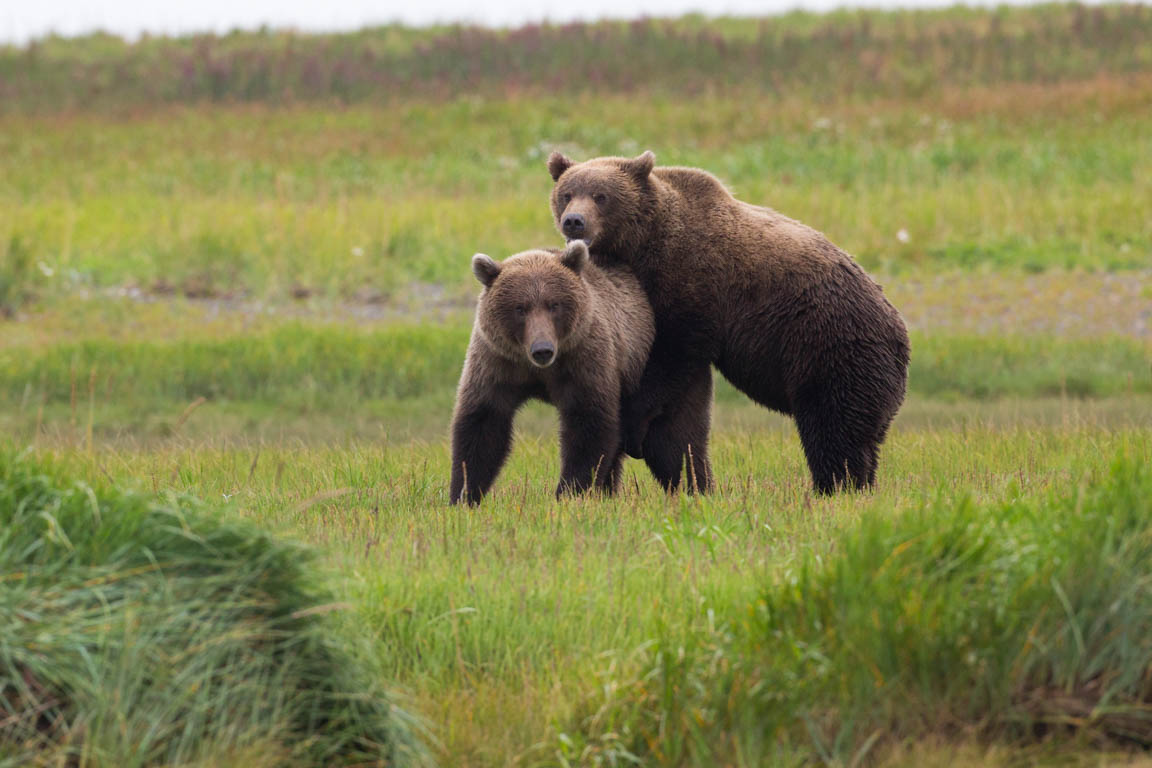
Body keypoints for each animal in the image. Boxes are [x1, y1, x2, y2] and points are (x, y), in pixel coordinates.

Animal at [446, 240, 654, 504]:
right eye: (520, 308)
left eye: (554, 305)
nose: (542, 349)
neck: (537, 371)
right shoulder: (497, 362)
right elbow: (483, 423)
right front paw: (463, 494)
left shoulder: (584, 360)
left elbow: (587, 424)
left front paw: (570, 492)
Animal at [546, 151, 907, 492]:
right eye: (567, 193)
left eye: (601, 195)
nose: (574, 221)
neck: (644, 245)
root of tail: (899, 330)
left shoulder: (693, 288)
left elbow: (669, 359)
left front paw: (635, 425)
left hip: (830, 347)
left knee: (833, 428)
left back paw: (836, 486)